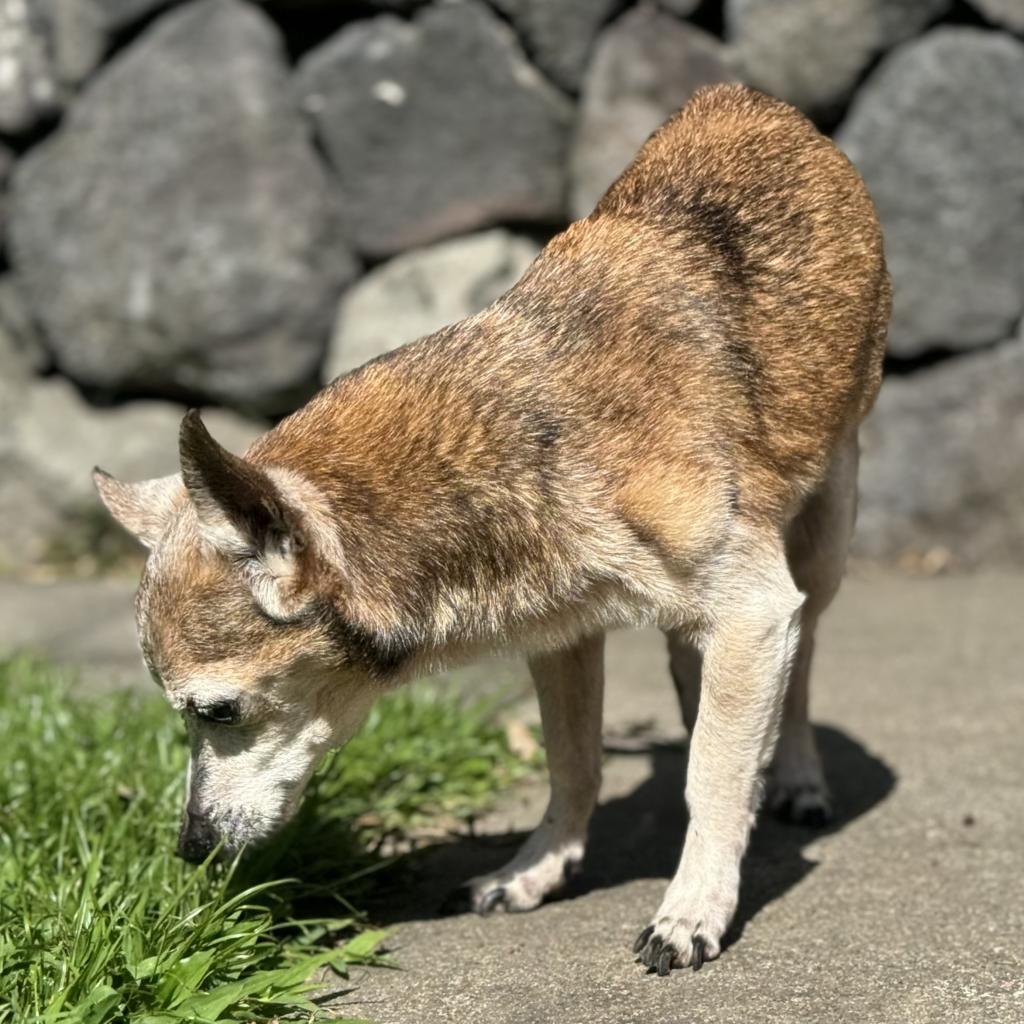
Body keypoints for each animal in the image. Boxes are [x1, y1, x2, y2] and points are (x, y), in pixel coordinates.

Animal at [94, 83, 888, 970]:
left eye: (217, 714)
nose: (190, 848)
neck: (531, 445)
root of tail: (744, 97)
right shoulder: (564, 637)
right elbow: (573, 764)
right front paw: (537, 869)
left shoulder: (755, 611)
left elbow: (710, 778)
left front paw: (693, 908)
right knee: (695, 668)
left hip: (822, 540)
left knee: (803, 657)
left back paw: (794, 776)